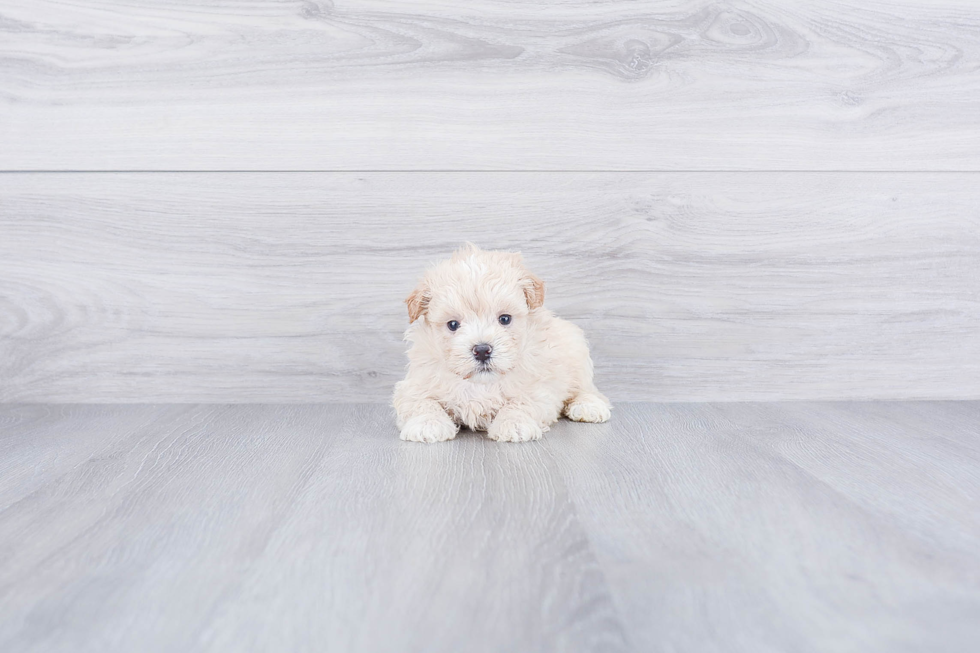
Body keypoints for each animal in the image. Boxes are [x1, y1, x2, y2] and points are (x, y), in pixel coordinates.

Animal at [392, 244, 608, 444]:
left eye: (504, 319)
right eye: (453, 324)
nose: (481, 350)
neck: (480, 383)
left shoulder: (540, 386)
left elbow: (522, 402)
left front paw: (514, 424)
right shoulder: (414, 384)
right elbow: (421, 401)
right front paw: (427, 424)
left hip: (576, 354)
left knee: (585, 389)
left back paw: (588, 406)